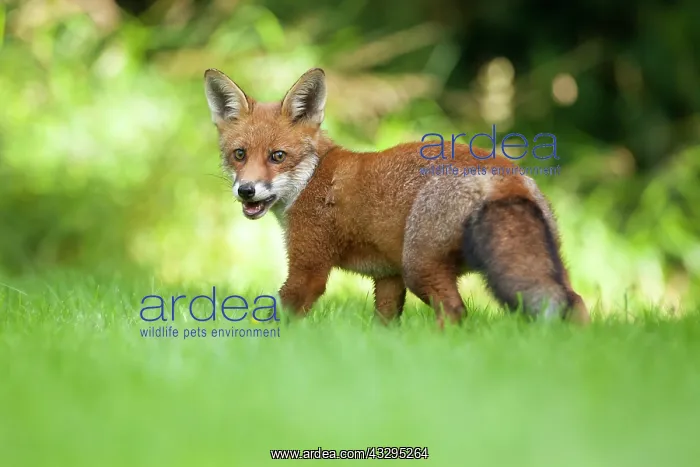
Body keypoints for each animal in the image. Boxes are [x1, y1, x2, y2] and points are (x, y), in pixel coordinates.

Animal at [203, 67, 590, 327]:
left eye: (277, 156)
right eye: (239, 155)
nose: (246, 190)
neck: (313, 177)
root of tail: (505, 174)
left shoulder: (309, 267)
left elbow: (277, 317)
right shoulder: (388, 277)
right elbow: (385, 324)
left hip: (420, 265)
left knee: (454, 311)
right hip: (546, 264)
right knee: (577, 302)